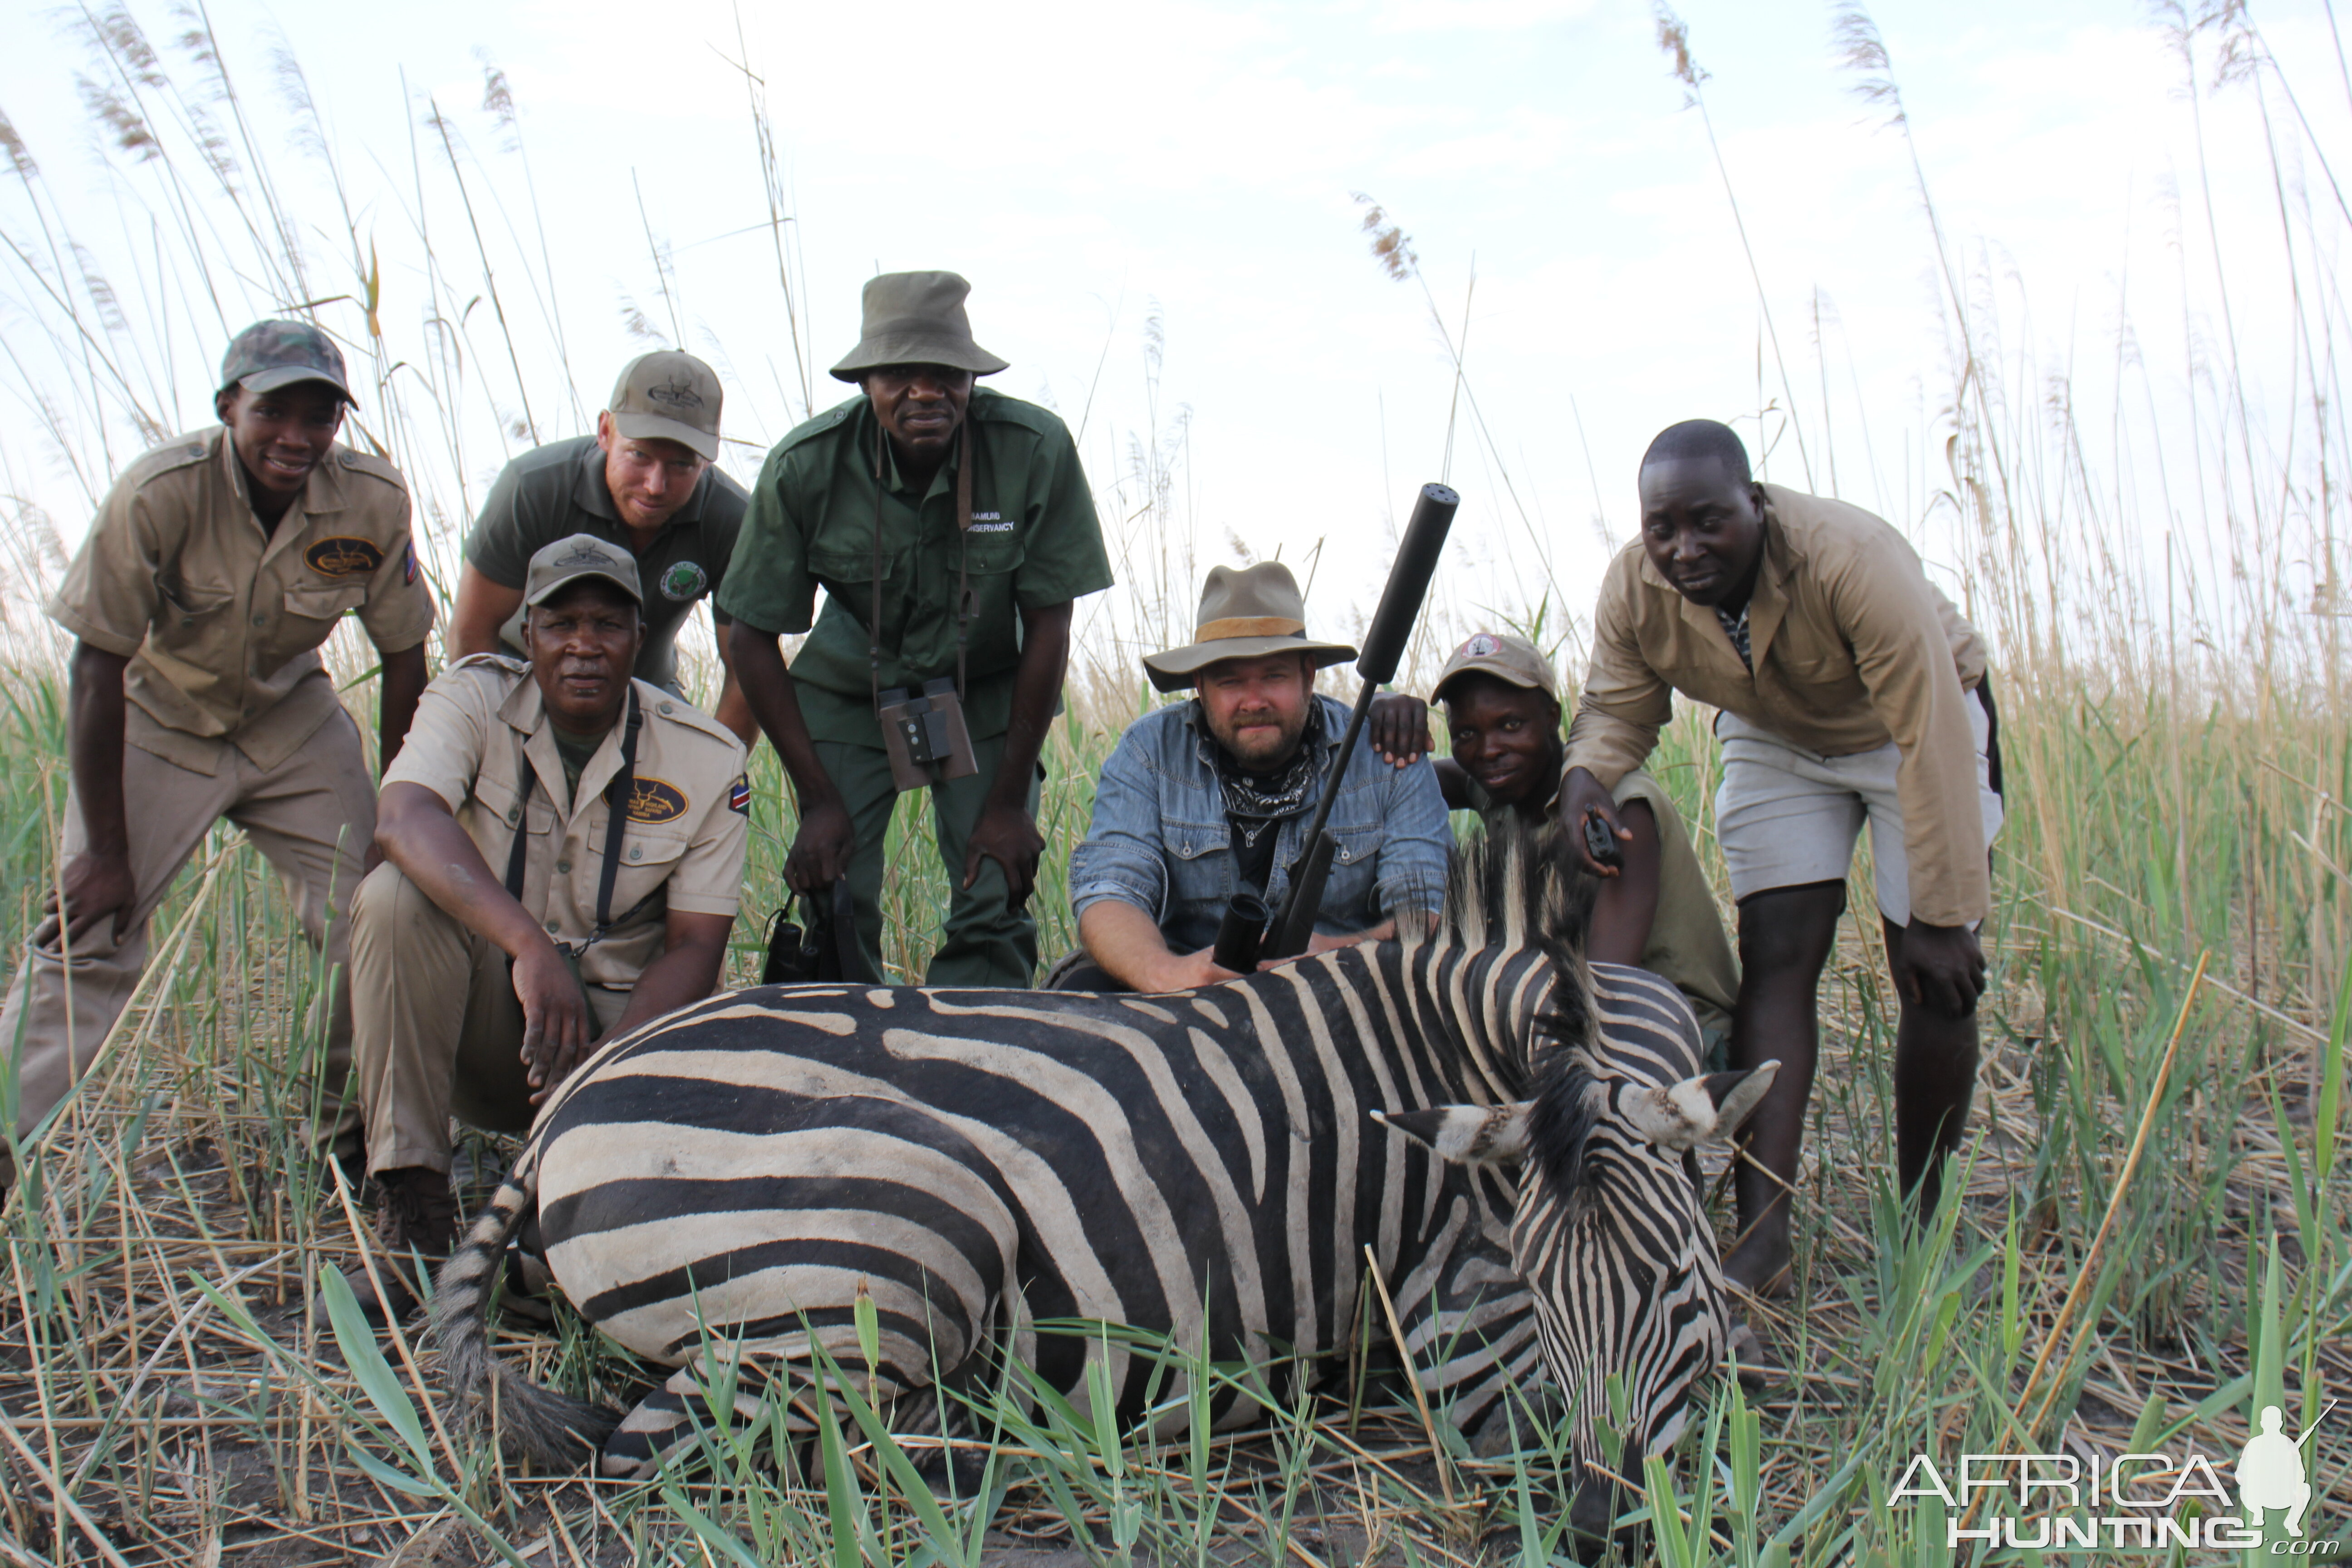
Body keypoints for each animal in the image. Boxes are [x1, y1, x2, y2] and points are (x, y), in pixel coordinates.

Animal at [432, 841, 1769, 1542]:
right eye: (1540, 1287)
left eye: (1675, 1278)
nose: (1602, 1529)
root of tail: (570, 1102)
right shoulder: (1461, 1342)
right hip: (896, 1245)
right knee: (688, 1451)